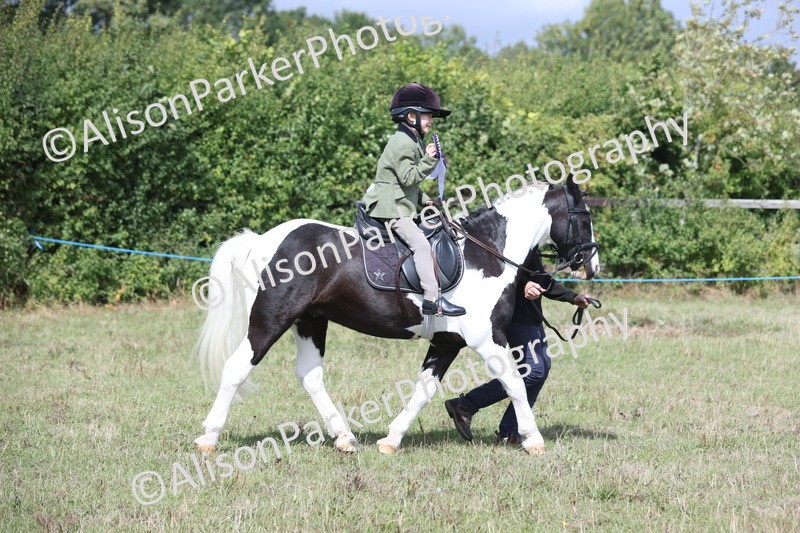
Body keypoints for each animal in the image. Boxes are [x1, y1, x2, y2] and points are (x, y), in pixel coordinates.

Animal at [194, 177, 600, 455]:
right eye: (584, 217)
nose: (593, 265)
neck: (485, 254)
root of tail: (262, 240)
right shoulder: (487, 339)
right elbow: (514, 382)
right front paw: (534, 440)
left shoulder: (447, 342)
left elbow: (424, 390)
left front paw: (391, 439)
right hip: (271, 320)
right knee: (237, 368)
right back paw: (209, 437)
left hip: (310, 321)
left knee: (310, 375)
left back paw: (345, 438)